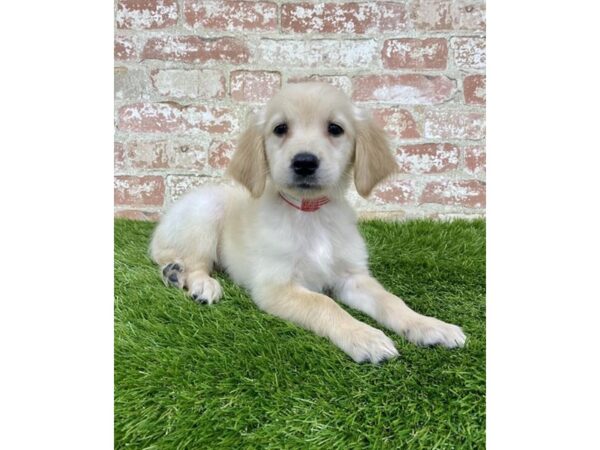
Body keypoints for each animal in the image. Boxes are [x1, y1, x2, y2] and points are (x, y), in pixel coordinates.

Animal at [148, 82, 466, 364]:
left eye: (335, 129)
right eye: (280, 129)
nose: (304, 162)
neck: (310, 215)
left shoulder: (352, 277)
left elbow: (391, 300)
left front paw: (430, 325)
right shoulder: (276, 286)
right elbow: (325, 304)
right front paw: (365, 337)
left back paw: (174, 274)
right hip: (205, 212)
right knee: (192, 262)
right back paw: (196, 282)